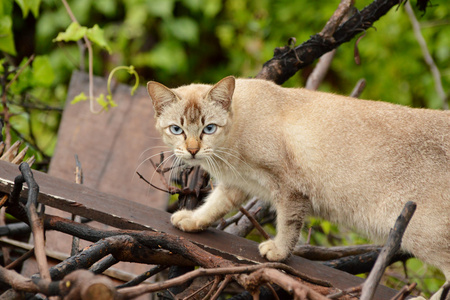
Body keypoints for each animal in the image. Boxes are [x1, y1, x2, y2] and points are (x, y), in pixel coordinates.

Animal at [148, 76, 450, 284]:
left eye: (209, 128)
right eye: (177, 129)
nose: (192, 150)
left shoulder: (289, 187)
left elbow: (287, 224)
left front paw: (278, 252)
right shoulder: (238, 183)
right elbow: (214, 206)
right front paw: (191, 220)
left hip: (423, 235)